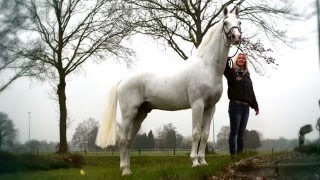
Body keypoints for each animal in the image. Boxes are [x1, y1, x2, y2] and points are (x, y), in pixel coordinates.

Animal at [96, 7, 241, 176]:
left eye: (239, 22)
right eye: (226, 23)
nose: (237, 37)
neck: (207, 67)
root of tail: (123, 80)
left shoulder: (210, 107)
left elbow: (204, 135)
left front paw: (203, 161)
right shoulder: (197, 104)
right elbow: (196, 133)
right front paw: (195, 162)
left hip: (140, 114)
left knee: (130, 140)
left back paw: (128, 169)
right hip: (128, 114)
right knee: (123, 139)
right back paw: (124, 170)